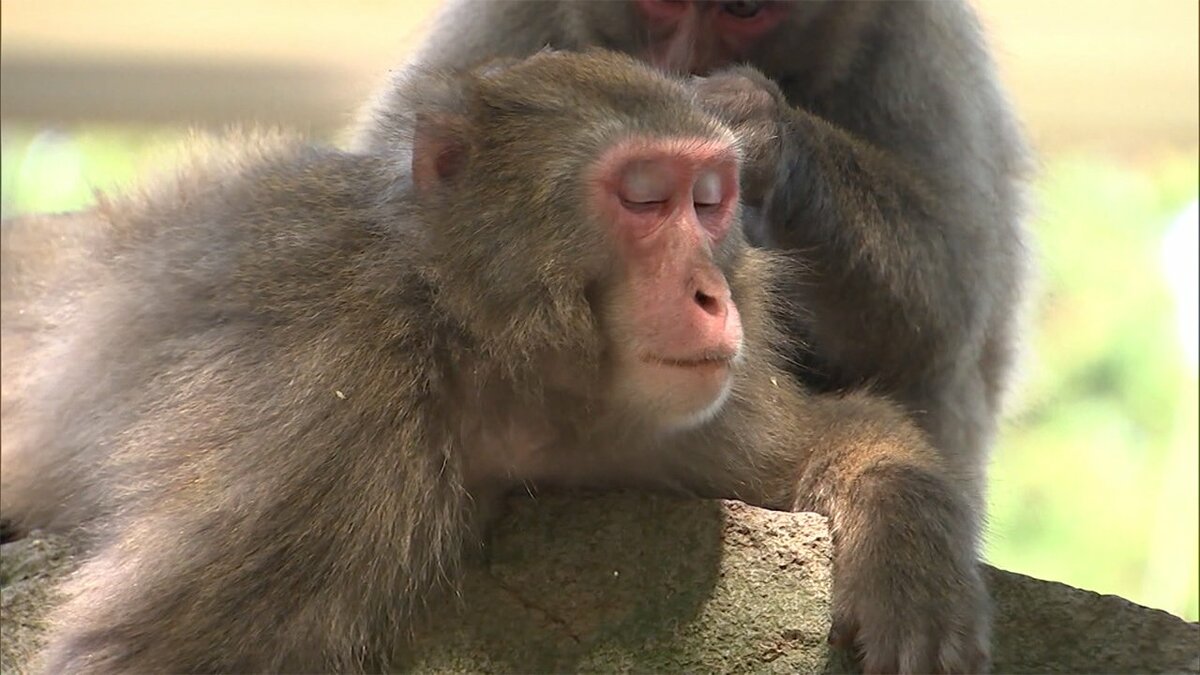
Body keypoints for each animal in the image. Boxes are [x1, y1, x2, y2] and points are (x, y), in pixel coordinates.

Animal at [0, 52, 984, 672]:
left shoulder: (682, 423)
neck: (474, 339)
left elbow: (841, 432)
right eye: (645, 198)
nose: (714, 294)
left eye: (710, 202)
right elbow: (147, 657)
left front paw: (911, 555)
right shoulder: (321, 420)